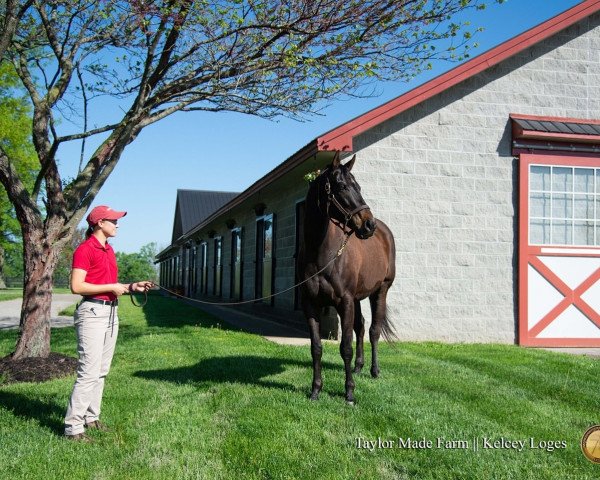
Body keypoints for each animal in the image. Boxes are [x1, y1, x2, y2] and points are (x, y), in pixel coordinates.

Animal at [298, 152, 396, 404]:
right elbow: (316, 348)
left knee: (373, 331)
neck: (322, 254)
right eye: (342, 186)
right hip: (359, 298)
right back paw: (359, 368)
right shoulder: (311, 304)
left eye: (358, 186)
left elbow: (345, 348)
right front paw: (316, 390)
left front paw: (349, 393)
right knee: (361, 327)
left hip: (380, 291)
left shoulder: (345, 302)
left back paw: (374, 370)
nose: (369, 224)